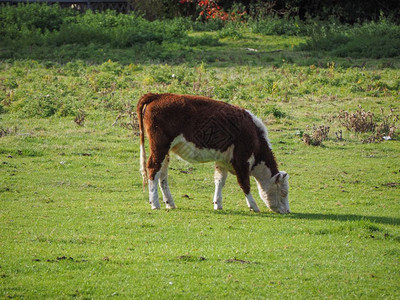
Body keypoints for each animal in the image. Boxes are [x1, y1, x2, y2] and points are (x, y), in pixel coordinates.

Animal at [136, 94, 290, 213]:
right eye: (284, 192)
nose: (287, 211)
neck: (254, 134)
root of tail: (158, 95)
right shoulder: (241, 160)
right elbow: (244, 183)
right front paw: (253, 206)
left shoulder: (223, 161)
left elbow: (219, 181)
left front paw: (218, 204)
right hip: (159, 147)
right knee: (153, 169)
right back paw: (155, 204)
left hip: (165, 151)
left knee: (162, 175)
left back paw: (170, 203)